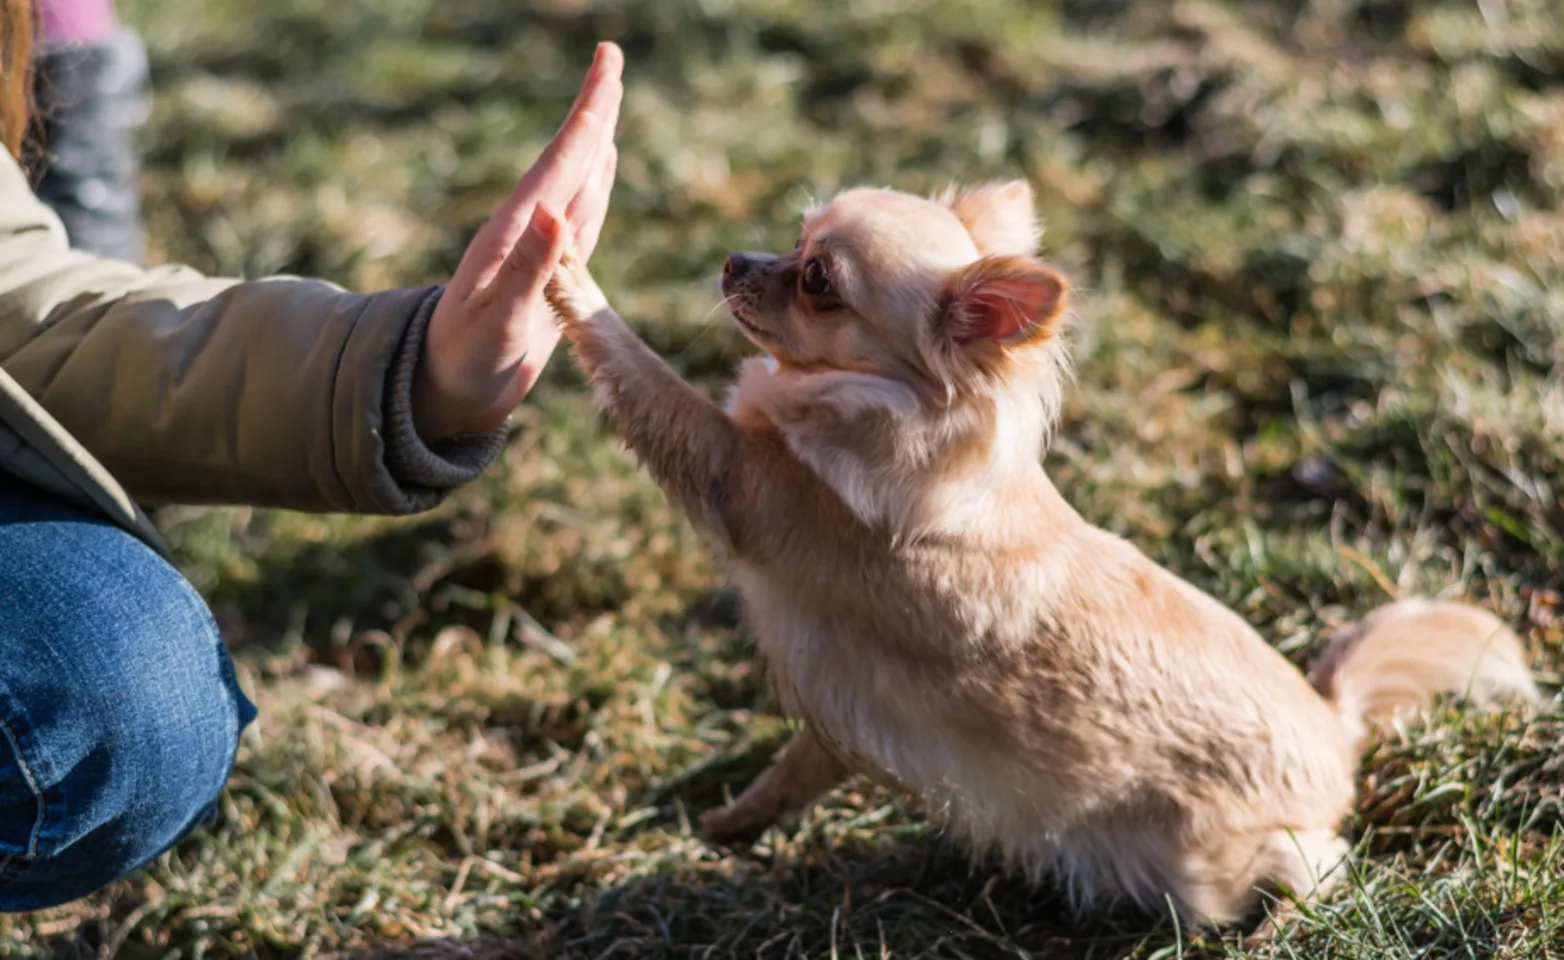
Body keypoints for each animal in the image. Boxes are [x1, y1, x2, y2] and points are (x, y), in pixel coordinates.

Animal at [538, 180, 1538, 931]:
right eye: (794, 240)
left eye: (818, 278)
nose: (735, 264)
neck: (871, 411)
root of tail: (1334, 724)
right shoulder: (838, 707)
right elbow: (793, 771)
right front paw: (730, 823)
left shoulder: (734, 483)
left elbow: (643, 375)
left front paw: (566, 270)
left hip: (1211, 861)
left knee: (1318, 867)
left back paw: (1281, 922)